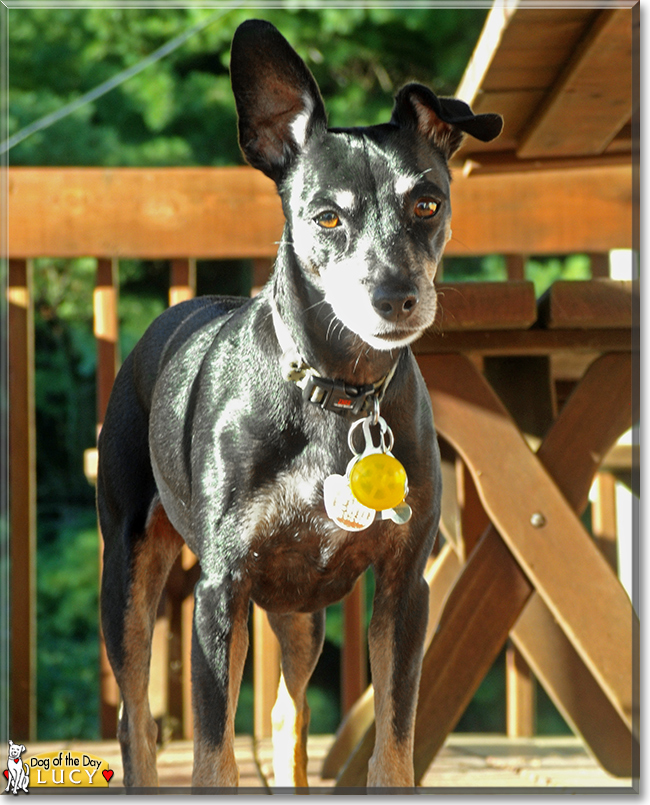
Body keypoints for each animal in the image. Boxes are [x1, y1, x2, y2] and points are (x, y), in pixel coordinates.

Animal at [96, 20, 502, 792]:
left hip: (299, 611)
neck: (338, 394)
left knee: (290, 713)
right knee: (136, 716)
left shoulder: (405, 589)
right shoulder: (219, 591)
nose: (395, 296)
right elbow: (213, 755)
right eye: (327, 217)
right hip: (129, 572)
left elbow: (394, 746)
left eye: (428, 202)